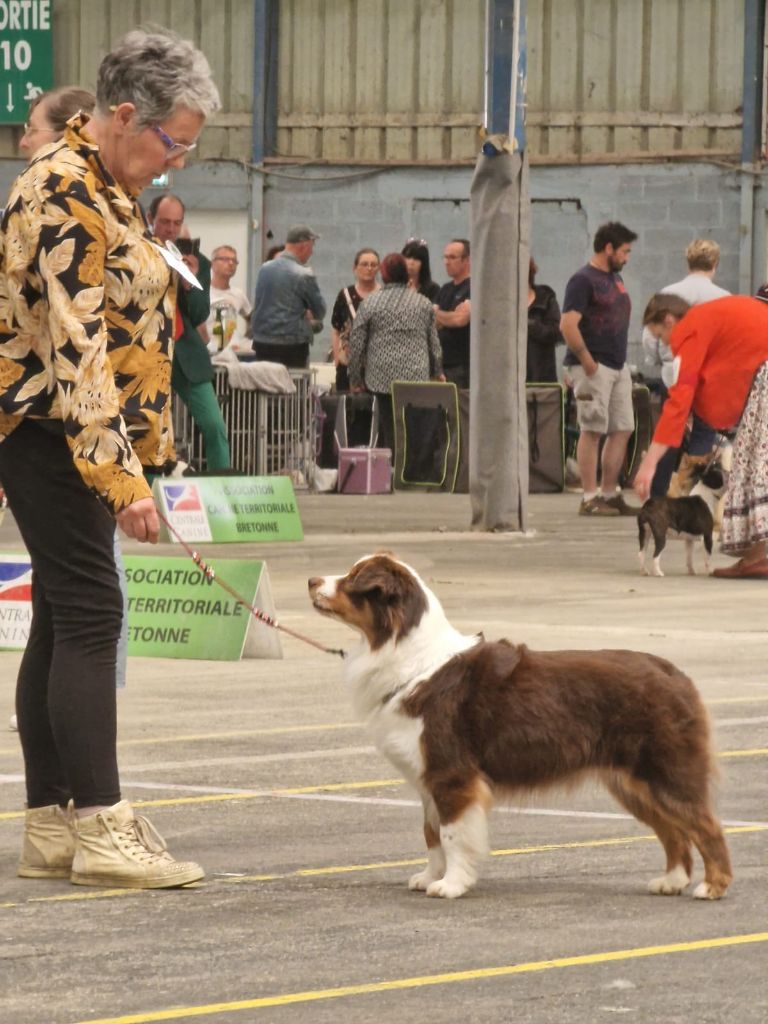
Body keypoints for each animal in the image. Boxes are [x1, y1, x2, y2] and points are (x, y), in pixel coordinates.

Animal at [309, 557, 733, 901]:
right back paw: (672, 881)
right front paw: (430, 876)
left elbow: (451, 834)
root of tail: (676, 674)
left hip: (667, 771)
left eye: (352, 579)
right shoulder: (427, 778)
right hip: (633, 782)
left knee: (706, 825)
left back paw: (712, 886)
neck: (413, 660)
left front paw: (451, 885)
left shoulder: (451, 774)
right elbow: (430, 835)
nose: (311, 580)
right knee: (673, 831)